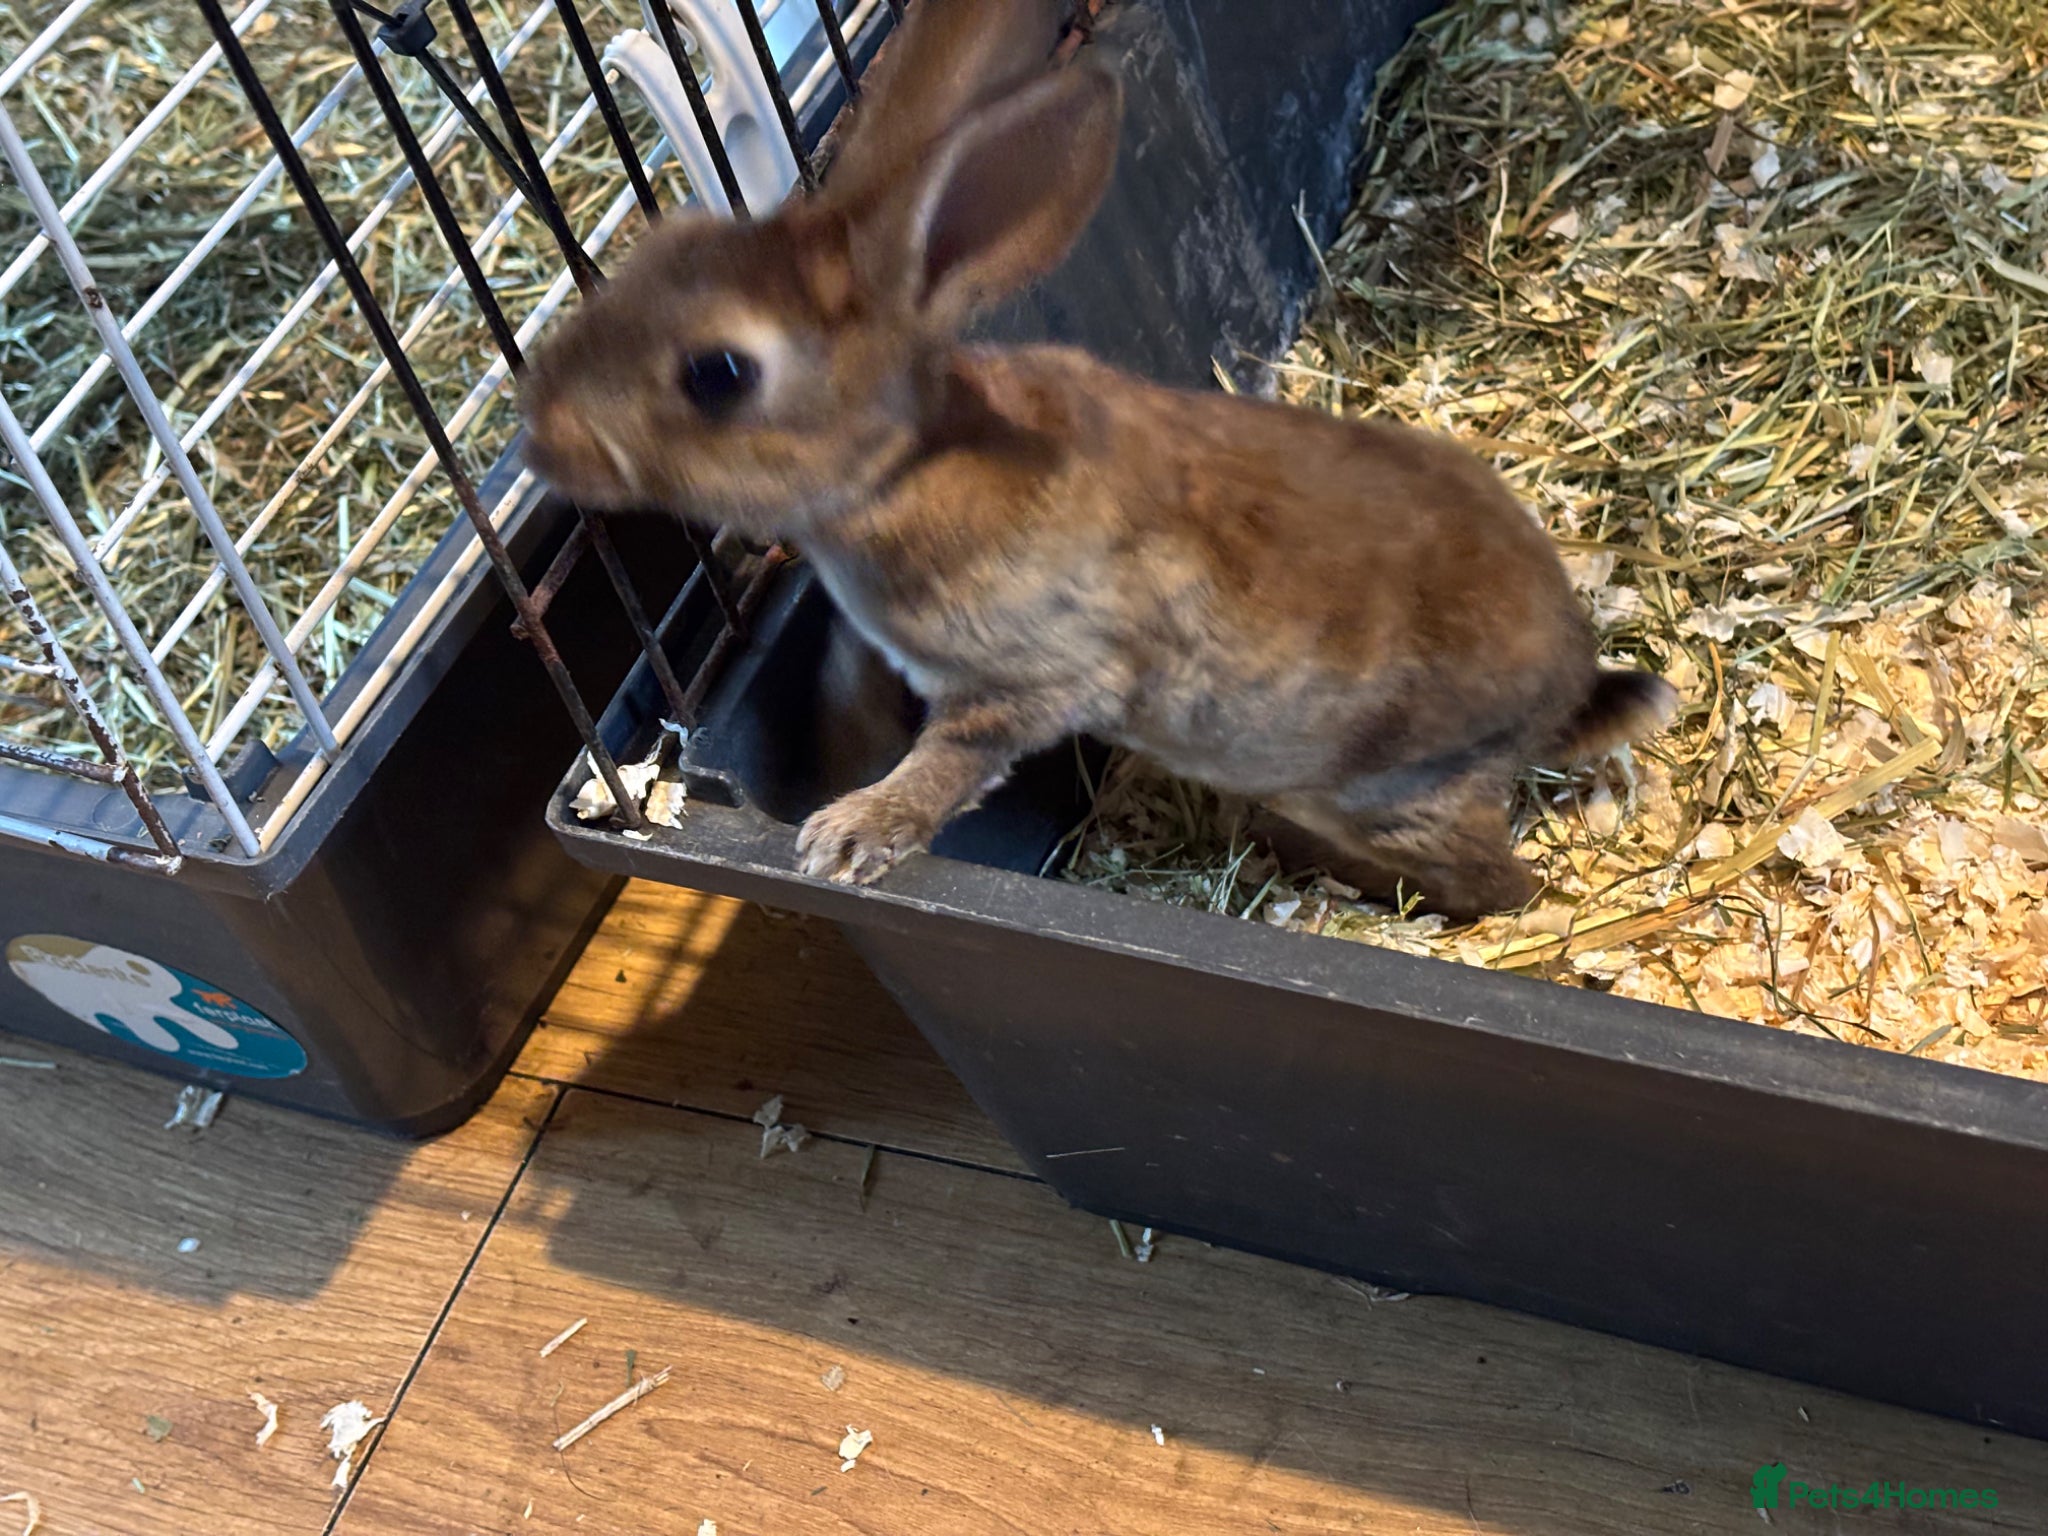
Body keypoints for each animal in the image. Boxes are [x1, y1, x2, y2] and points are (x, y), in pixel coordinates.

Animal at [517, 0, 1679, 921]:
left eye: (717, 374)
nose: (538, 431)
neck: (909, 467)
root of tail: (1568, 692)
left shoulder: (1038, 675)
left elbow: (954, 760)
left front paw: (849, 834)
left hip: (1381, 790)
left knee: (1502, 887)